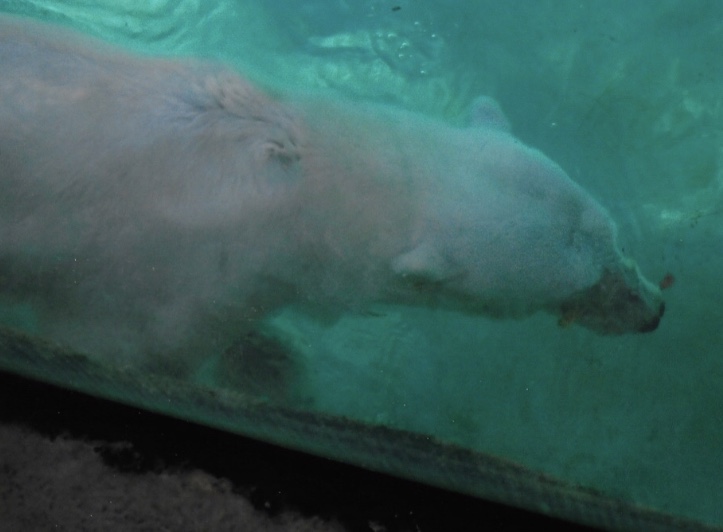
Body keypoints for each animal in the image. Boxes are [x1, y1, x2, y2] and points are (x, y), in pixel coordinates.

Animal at [0, 15, 664, 374]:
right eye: (583, 283)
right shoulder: (160, 277)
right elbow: (118, 344)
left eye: (614, 239)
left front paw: (271, 353)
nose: (654, 309)